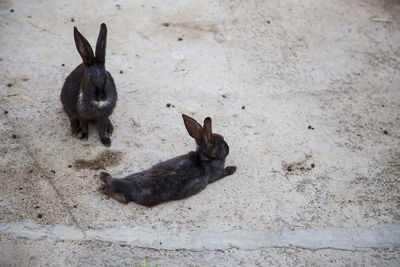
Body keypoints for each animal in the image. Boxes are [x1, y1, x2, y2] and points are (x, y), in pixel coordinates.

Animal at [99, 114, 236, 207]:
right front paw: (233, 169)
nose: (228, 147)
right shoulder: (217, 173)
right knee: (123, 198)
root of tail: (127, 186)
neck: (206, 157)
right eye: (223, 143)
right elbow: (224, 172)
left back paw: (104, 177)